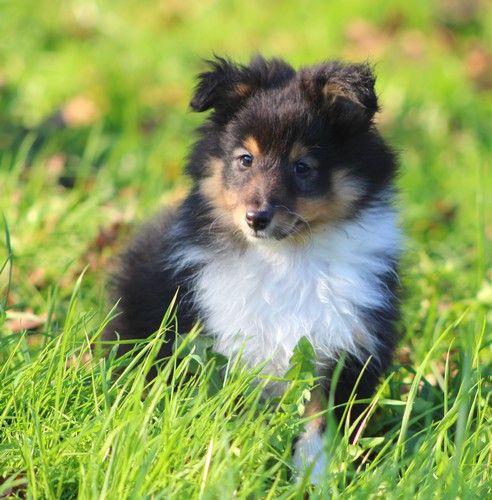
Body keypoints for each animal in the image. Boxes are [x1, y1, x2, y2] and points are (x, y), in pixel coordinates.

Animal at [105, 56, 402, 482]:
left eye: (303, 167)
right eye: (246, 159)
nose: (256, 218)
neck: (285, 257)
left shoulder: (341, 350)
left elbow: (318, 426)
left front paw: (312, 480)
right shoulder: (225, 346)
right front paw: (231, 469)